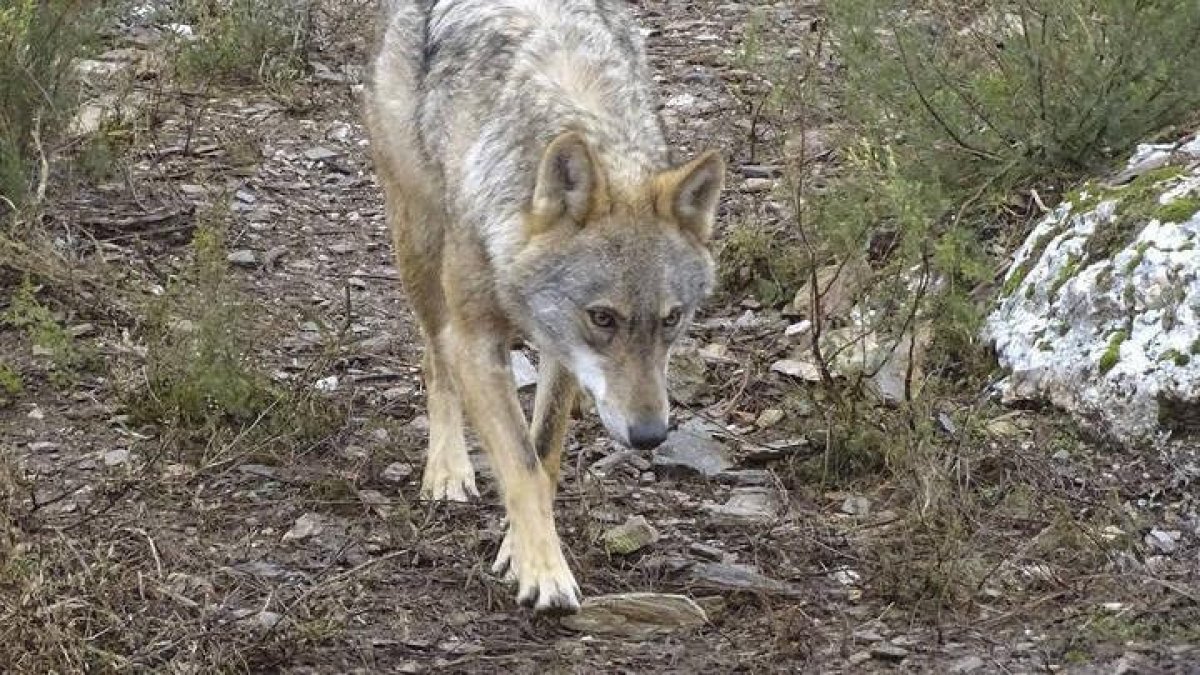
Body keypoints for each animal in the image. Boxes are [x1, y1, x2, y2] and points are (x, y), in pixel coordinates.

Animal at [365, 0, 724, 613]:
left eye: (672, 320)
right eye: (603, 318)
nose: (651, 436)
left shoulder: (561, 349)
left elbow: (544, 454)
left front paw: (518, 549)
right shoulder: (477, 340)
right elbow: (521, 464)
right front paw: (545, 572)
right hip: (419, 244)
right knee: (434, 361)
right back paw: (447, 470)